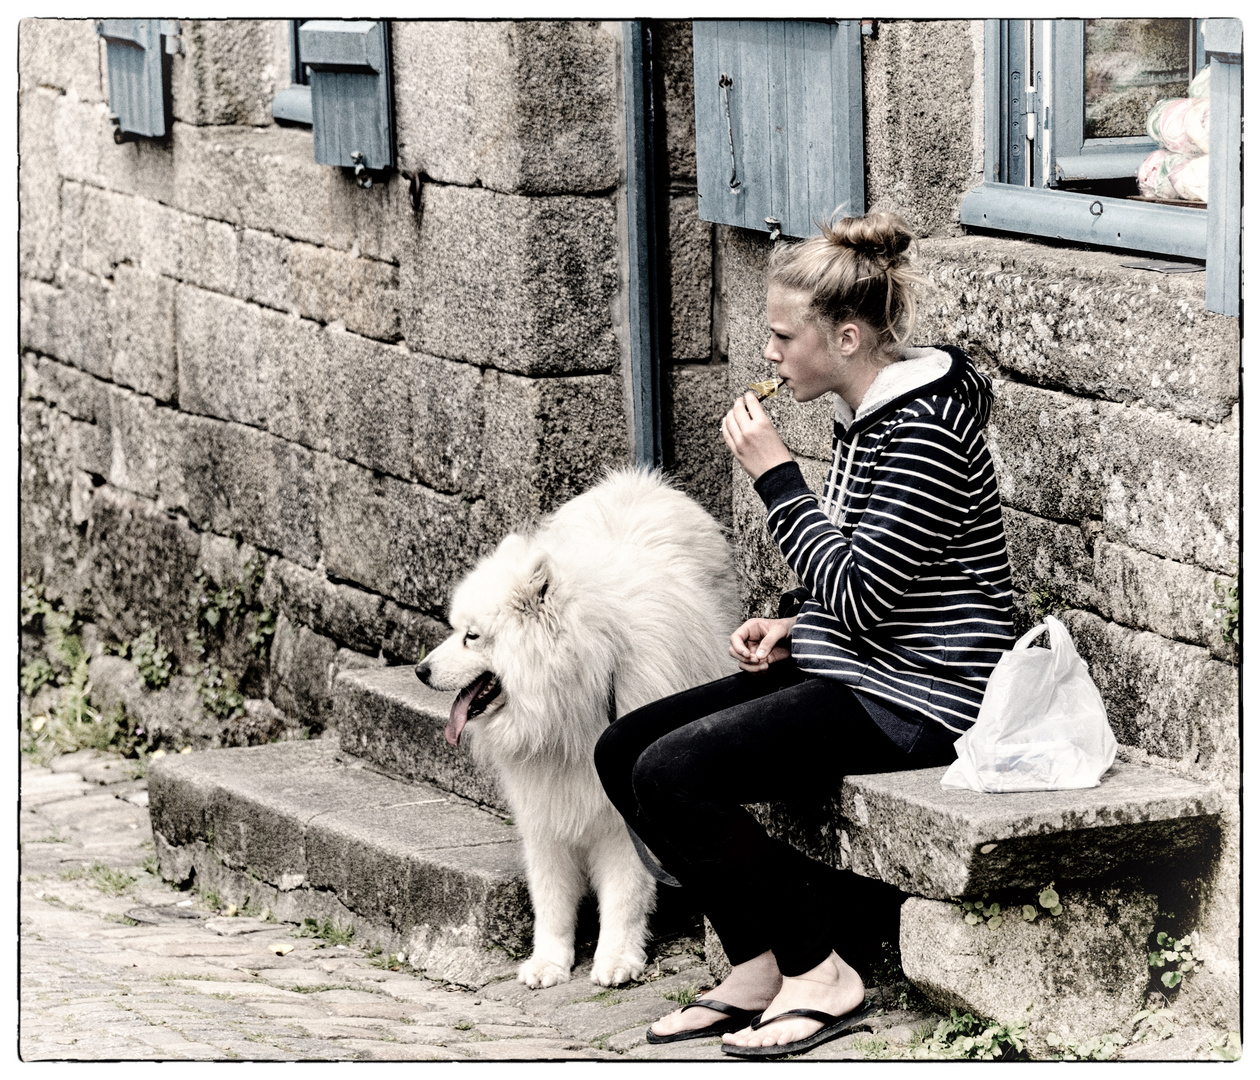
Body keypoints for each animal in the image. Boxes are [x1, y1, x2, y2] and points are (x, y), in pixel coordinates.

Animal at [418, 468, 740, 988]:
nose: (420, 671)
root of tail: (642, 480)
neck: (567, 710)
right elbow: (550, 898)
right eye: (454, 628)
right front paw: (548, 963)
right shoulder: (544, 807)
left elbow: (624, 895)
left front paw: (616, 960)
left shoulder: (619, 814)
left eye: (472, 636)